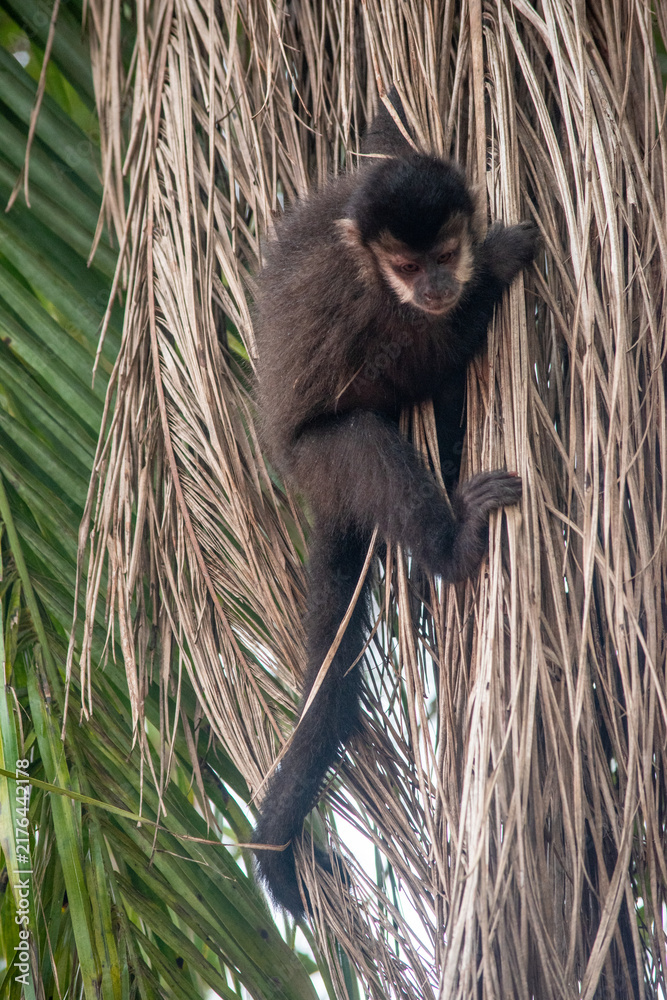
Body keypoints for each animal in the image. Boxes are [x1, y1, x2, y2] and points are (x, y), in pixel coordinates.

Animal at [251, 91, 539, 919]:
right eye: (411, 267)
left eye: (442, 253)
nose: (440, 286)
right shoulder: (369, 304)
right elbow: (399, 371)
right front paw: (493, 271)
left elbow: (379, 149)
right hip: (317, 459)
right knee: (364, 441)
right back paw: (451, 545)